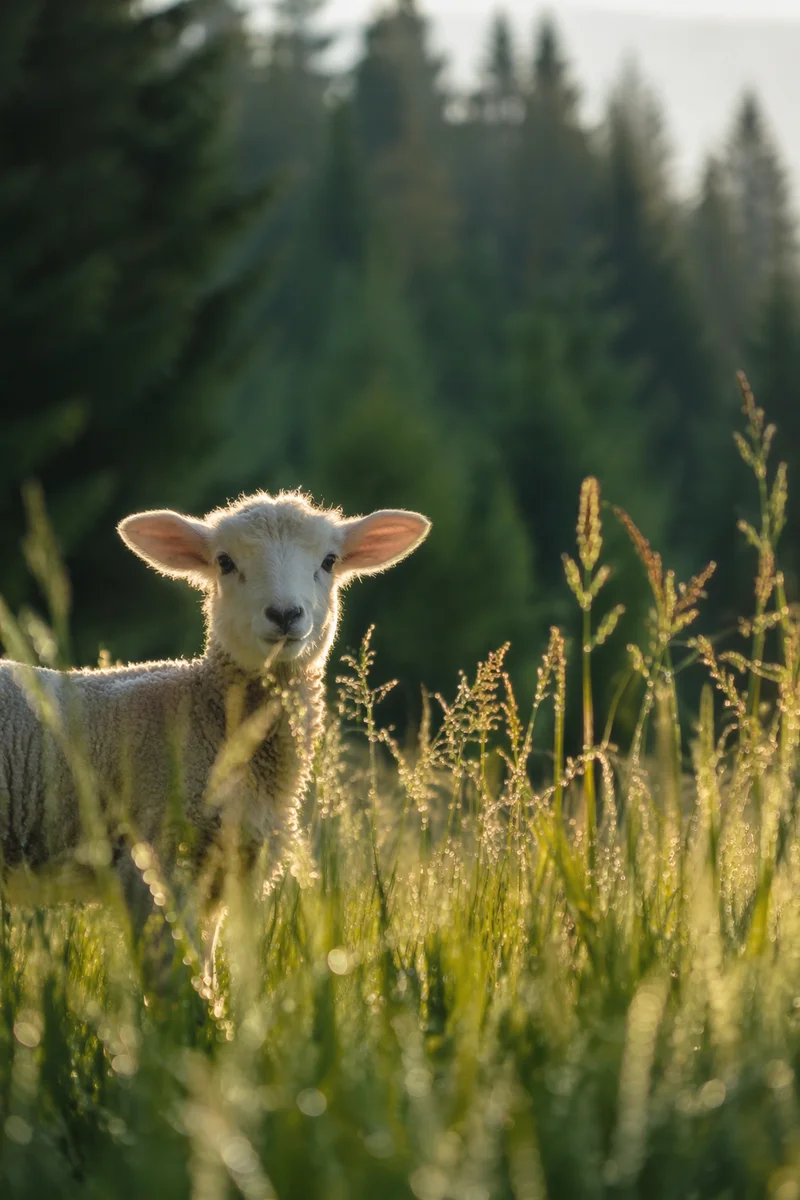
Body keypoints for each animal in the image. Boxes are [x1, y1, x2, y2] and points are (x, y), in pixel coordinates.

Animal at [0, 490, 431, 973]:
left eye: (329, 560)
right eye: (224, 562)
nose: (285, 614)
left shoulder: (225, 879)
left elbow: (203, 975)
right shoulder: (156, 867)